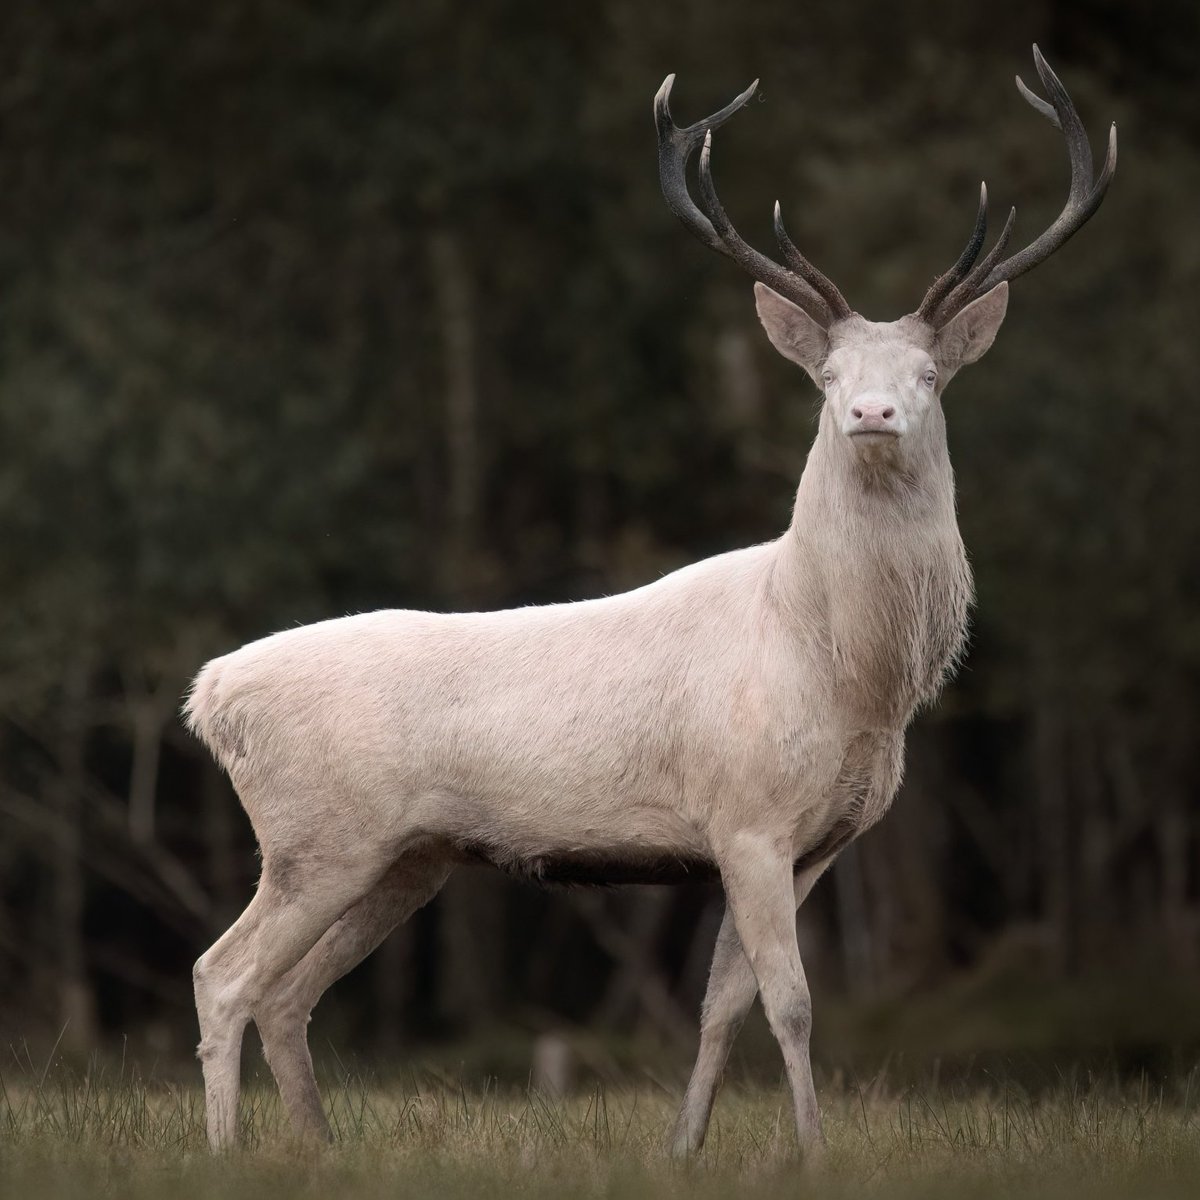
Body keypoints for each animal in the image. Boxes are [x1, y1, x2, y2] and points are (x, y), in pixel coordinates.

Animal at [185, 46, 1115, 1157]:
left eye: (931, 373)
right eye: (827, 374)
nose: (872, 413)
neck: (849, 673)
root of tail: (211, 696)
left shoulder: (811, 842)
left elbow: (726, 1004)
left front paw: (687, 1146)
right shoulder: (746, 815)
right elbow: (791, 1002)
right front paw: (812, 1152)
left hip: (405, 856)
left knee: (289, 994)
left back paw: (320, 1150)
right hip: (316, 834)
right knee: (223, 974)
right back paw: (226, 1152)